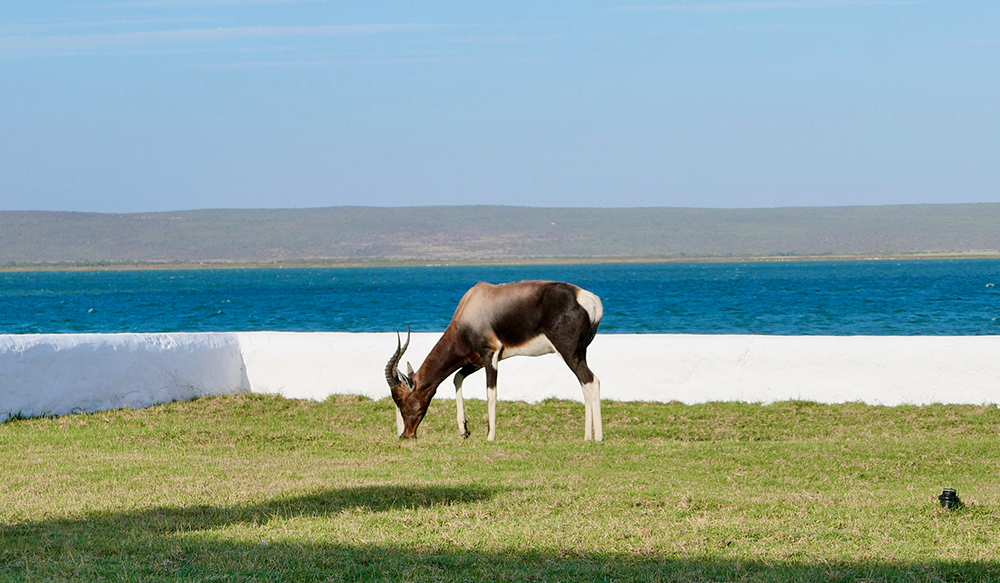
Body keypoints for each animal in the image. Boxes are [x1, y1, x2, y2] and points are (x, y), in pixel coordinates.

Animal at [382, 282, 600, 442]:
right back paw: (587, 436)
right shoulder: (475, 361)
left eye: (400, 400)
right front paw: (464, 430)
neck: (472, 303)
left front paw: (490, 436)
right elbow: (457, 378)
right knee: (586, 384)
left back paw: (597, 438)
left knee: (591, 381)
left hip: (568, 352)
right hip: (580, 353)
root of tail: (591, 300)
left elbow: (490, 392)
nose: (405, 435)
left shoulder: (490, 356)